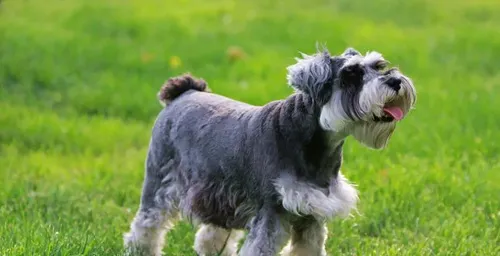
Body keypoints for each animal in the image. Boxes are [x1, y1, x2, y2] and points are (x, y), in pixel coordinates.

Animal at [123, 46, 416, 256]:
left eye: (378, 65)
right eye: (351, 76)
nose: (395, 81)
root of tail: (184, 92)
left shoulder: (311, 216)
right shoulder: (271, 212)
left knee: (212, 233)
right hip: (160, 183)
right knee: (146, 225)